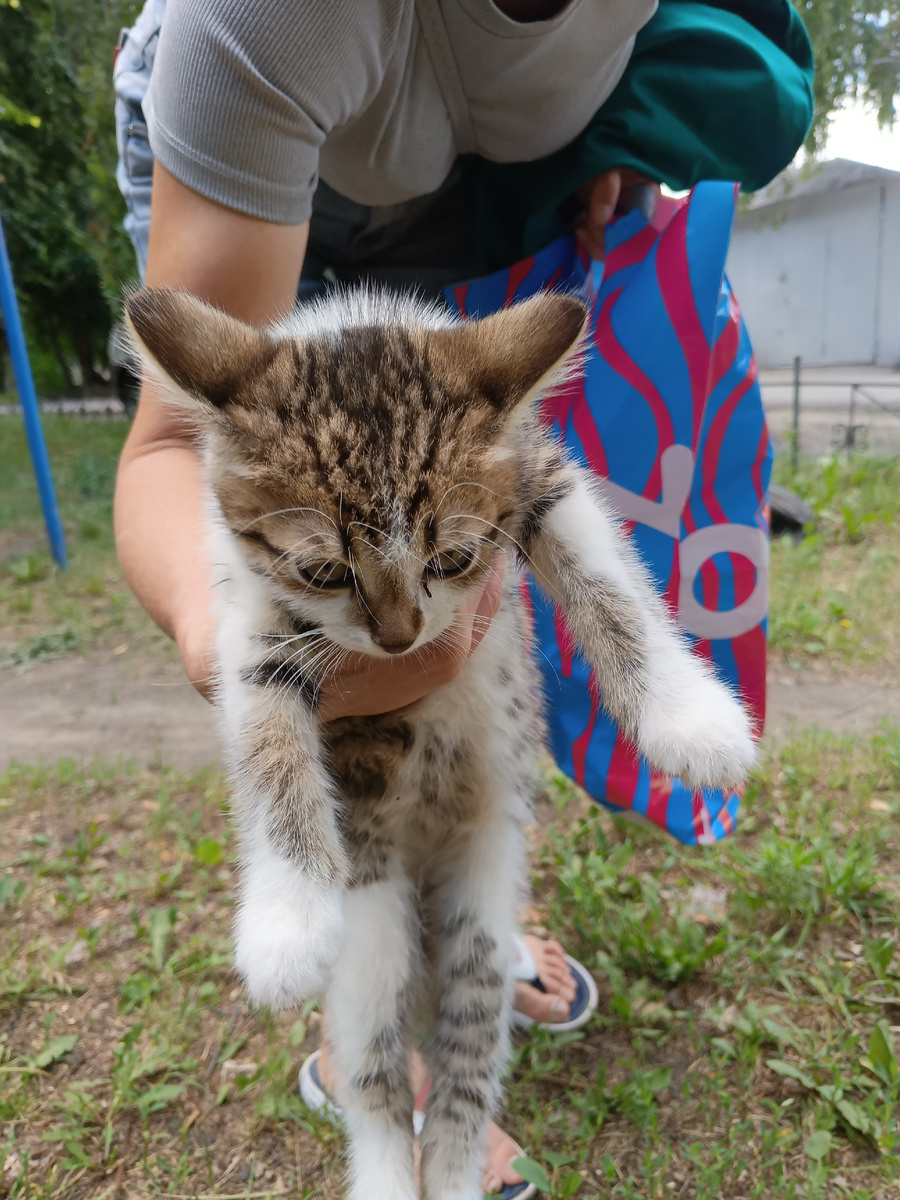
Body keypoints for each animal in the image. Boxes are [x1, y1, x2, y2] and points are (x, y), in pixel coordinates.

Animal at [125, 285, 755, 1200]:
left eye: (453, 558)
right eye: (324, 572)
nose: (401, 638)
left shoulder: (541, 474)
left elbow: (610, 584)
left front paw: (690, 717)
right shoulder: (250, 619)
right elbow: (269, 741)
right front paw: (286, 920)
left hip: (482, 921)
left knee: (464, 1066)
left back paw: (457, 1166)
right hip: (372, 942)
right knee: (380, 1075)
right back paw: (390, 1170)